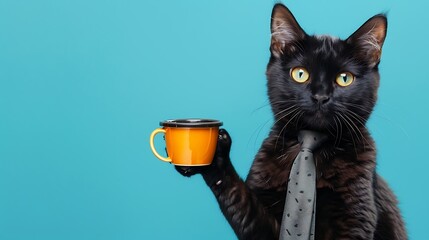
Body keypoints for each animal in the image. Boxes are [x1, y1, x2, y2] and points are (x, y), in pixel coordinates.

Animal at [176, 3, 406, 240]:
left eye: (344, 78)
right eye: (300, 74)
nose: (320, 96)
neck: (310, 146)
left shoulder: (355, 220)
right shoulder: (259, 225)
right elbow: (238, 198)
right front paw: (213, 152)